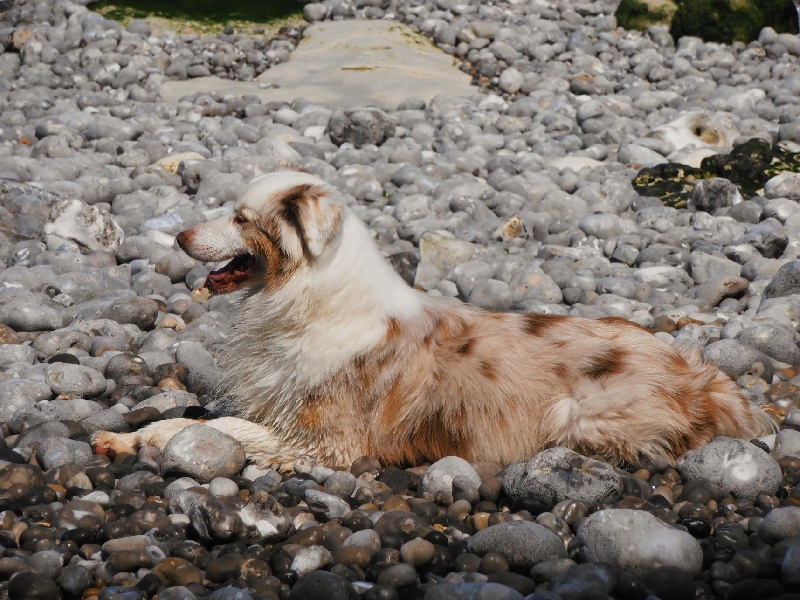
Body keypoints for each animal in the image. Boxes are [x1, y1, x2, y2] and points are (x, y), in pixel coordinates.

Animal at [92, 171, 776, 472]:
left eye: (239, 218)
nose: (179, 235)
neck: (307, 296)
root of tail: (705, 374)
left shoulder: (328, 441)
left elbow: (218, 429)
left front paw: (148, 441)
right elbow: (191, 418)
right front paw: (127, 437)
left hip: (575, 413)